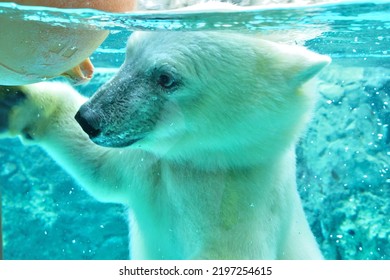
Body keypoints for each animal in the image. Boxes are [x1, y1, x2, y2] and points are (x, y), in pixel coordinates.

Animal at [0, 31, 330, 260]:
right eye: (128, 52)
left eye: (166, 78)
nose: (88, 119)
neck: (211, 162)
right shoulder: (153, 165)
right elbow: (100, 164)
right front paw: (16, 101)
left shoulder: (244, 204)